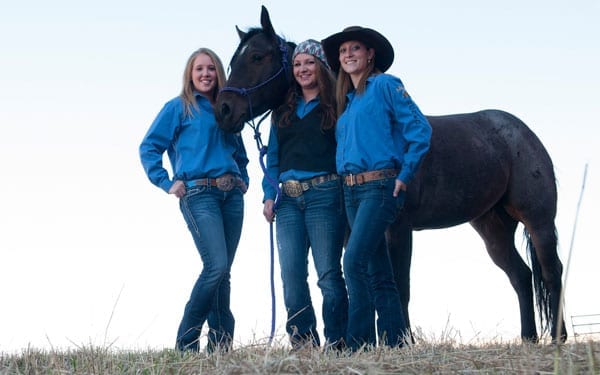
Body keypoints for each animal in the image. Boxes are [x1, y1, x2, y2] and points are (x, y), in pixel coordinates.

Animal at [216, 5, 568, 346]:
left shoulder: (398, 228)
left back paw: (558, 338)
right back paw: (528, 338)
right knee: (521, 276)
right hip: (493, 227)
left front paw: (401, 340)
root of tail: (521, 132)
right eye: (233, 60)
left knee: (552, 272)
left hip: (538, 221)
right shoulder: (353, 232)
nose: (223, 110)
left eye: (257, 56)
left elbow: (400, 285)